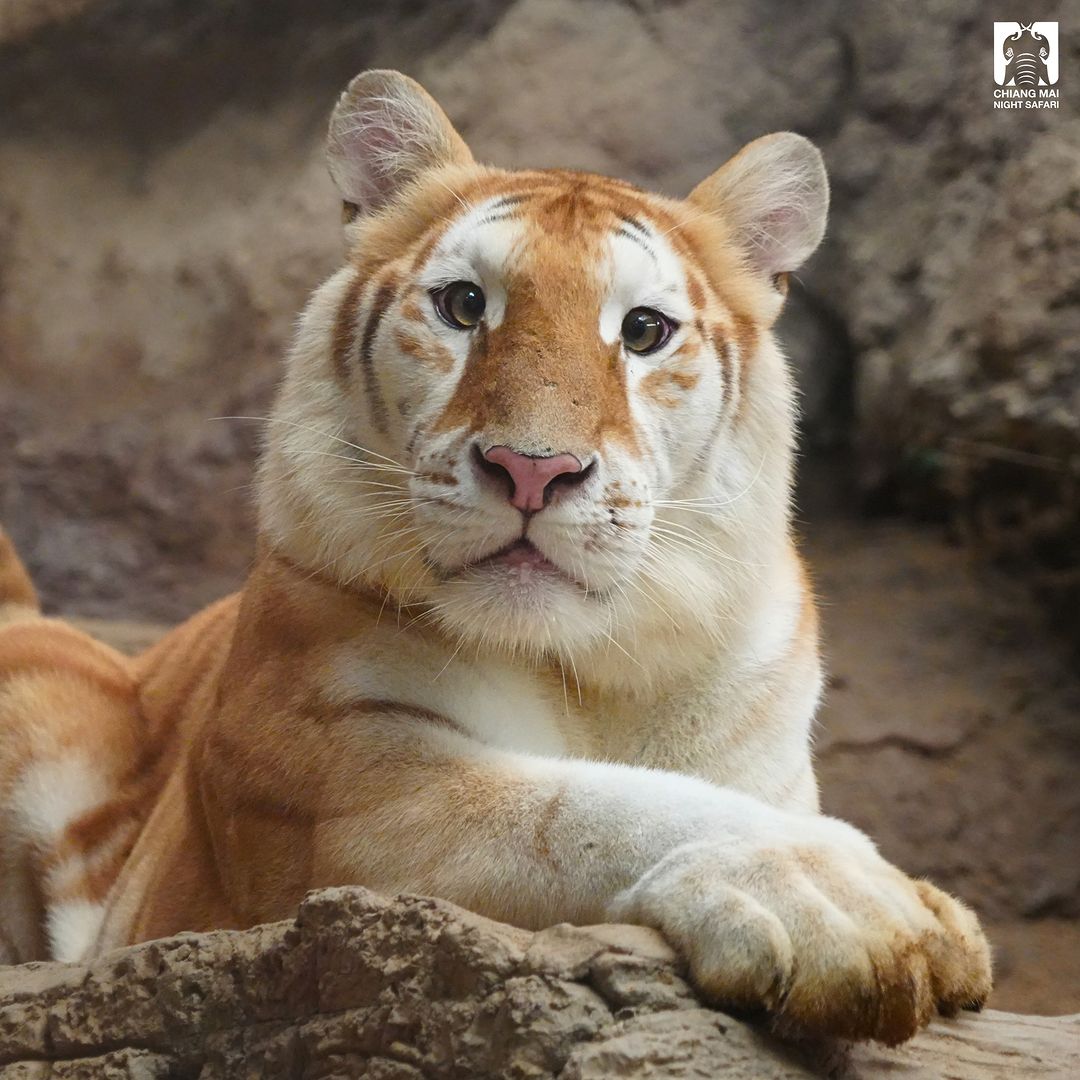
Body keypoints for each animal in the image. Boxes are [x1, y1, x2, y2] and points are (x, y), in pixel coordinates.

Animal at [0, 69, 989, 1045]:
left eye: (643, 330)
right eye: (465, 305)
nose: (533, 469)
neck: (595, 670)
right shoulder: (339, 785)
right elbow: (587, 807)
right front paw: (848, 903)